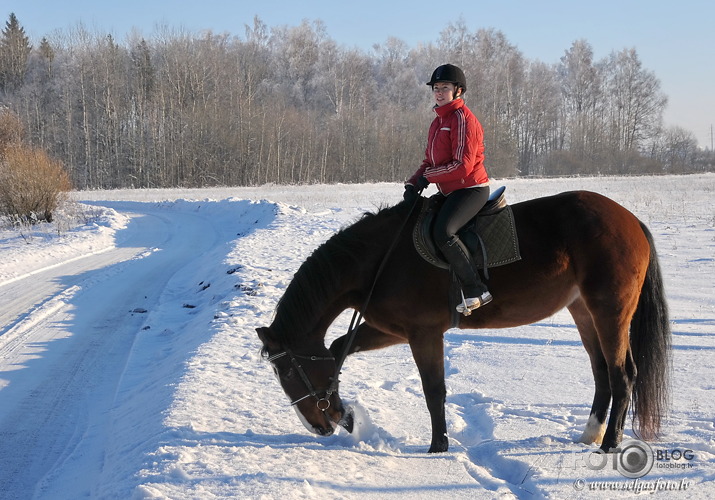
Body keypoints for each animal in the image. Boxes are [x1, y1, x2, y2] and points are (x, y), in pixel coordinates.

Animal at [258, 190, 672, 454]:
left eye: (289, 372)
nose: (316, 426)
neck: (379, 260)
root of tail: (630, 219)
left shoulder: (424, 333)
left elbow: (434, 391)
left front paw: (437, 447)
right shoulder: (393, 330)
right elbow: (338, 348)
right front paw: (346, 414)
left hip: (610, 311)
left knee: (622, 375)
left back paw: (610, 444)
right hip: (584, 311)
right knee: (602, 372)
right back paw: (590, 435)